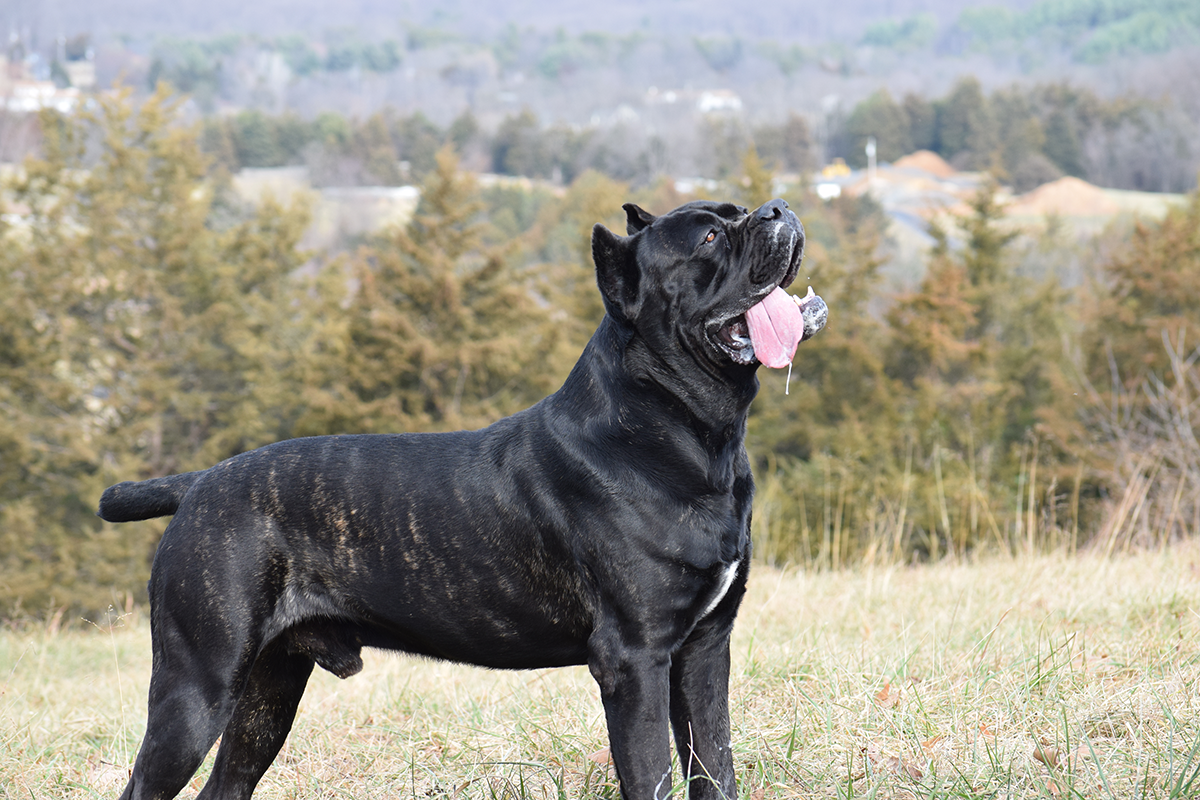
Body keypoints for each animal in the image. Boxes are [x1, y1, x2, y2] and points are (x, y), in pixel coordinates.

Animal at [100, 196, 825, 796]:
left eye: (735, 209)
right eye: (710, 235)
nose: (777, 206)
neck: (683, 429)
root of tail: (199, 482)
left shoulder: (703, 649)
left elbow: (715, 767)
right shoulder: (636, 660)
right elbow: (652, 777)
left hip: (265, 692)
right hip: (197, 687)